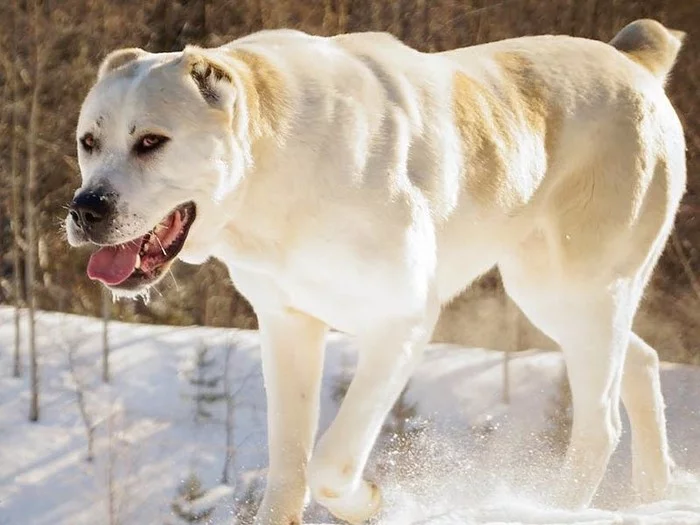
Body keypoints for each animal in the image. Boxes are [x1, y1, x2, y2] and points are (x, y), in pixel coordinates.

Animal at [68, 18, 688, 520]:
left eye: (151, 141)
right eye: (88, 142)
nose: (86, 208)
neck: (274, 172)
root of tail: (632, 61)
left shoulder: (402, 320)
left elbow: (329, 463)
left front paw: (368, 500)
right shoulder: (288, 324)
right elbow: (289, 463)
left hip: (578, 289)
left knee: (601, 423)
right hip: (557, 296)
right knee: (641, 361)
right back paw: (654, 493)